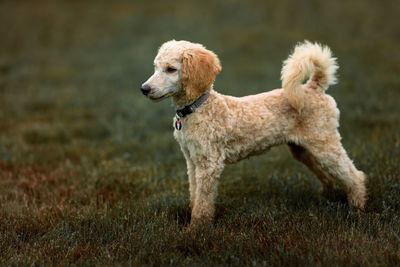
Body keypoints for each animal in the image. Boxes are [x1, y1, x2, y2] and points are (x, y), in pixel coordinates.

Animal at [140, 39, 366, 226]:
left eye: (171, 69)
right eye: (155, 67)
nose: (144, 88)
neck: (198, 107)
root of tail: (313, 87)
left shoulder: (209, 163)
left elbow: (203, 202)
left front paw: (196, 229)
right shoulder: (192, 160)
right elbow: (195, 195)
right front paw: (194, 220)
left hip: (324, 143)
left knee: (354, 175)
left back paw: (358, 207)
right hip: (303, 149)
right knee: (329, 175)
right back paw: (328, 196)